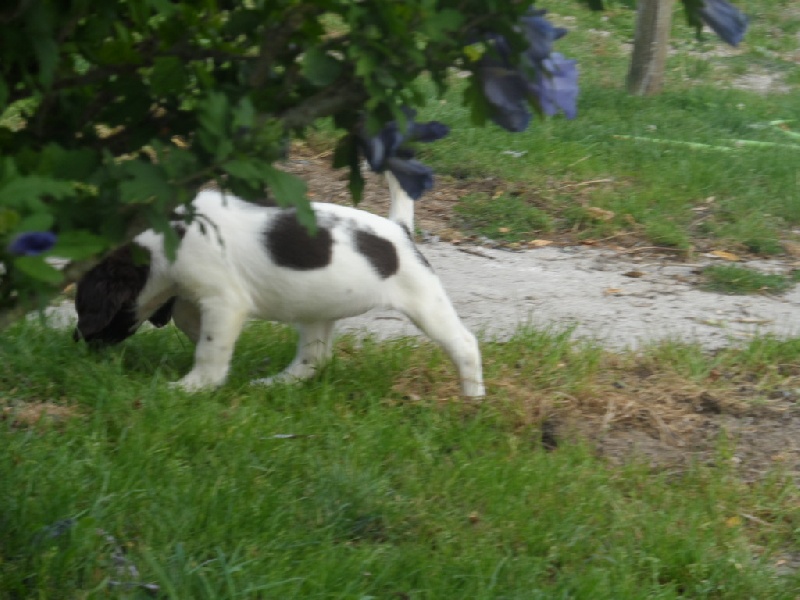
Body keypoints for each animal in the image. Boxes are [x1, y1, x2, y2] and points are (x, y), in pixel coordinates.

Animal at [73, 175, 485, 397]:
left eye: (86, 309)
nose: (79, 344)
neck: (164, 242)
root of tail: (400, 231)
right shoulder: (198, 295)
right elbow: (189, 322)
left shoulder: (225, 301)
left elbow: (209, 349)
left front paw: (194, 386)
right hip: (318, 313)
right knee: (313, 360)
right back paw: (275, 383)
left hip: (425, 302)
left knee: (464, 344)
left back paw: (472, 398)